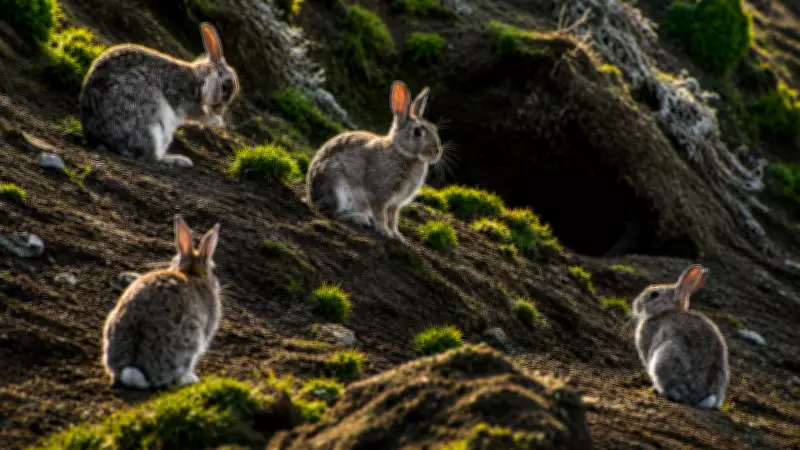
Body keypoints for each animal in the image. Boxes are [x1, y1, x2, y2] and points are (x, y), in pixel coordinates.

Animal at [79, 22, 240, 168]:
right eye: (225, 87)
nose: (220, 110)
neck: (199, 79)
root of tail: (101, 140)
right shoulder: (182, 96)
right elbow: (197, 115)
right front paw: (217, 121)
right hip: (152, 123)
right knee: (151, 156)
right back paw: (179, 160)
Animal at [306, 80, 443, 242]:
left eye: (434, 129)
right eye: (417, 132)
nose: (437, 151)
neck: (402, 153)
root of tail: (311, 196)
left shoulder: (395, 204)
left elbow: (393, 218)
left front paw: (397, 236)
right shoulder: (379, 194)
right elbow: (381, 215)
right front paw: (385, 232)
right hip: (337, 189)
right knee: (331, 212)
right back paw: (359, 218)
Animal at [632, 264, 729, 409]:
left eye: (654, 294)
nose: (636, 305)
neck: (666, 312)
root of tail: (700, 398)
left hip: (665, 357)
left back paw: (657, 390)